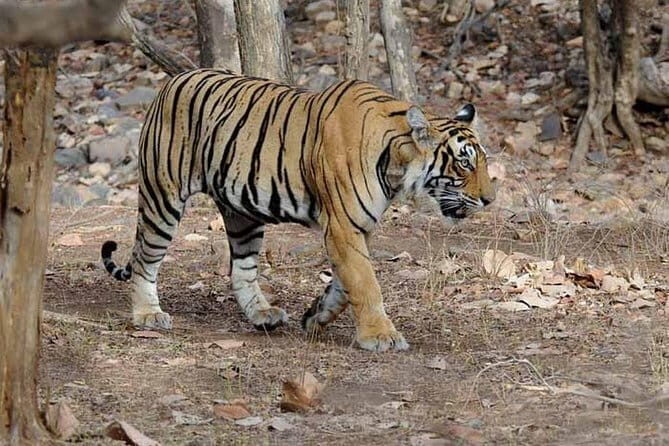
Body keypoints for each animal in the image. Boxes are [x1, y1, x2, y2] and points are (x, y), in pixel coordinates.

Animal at [100, 69, 495, 352]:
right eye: (464, 163)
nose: (491, 199)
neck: (396, 163)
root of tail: (170, 82)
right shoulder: (342, 225)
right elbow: (365, 283)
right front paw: (380, 336)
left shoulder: (358, 227)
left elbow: (345, 283)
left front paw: (316, 316)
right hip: (162, 197)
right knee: (145, 261)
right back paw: (148, 315)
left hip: (242, 213)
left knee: (241, 269)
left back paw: (263, 315)